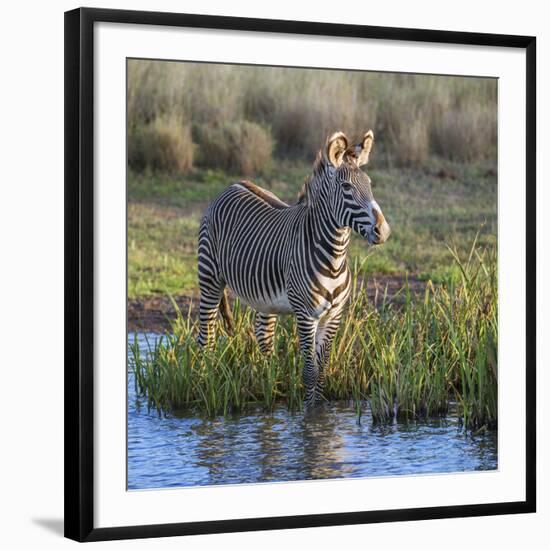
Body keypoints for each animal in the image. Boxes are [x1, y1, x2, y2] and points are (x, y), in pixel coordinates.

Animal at [198, 130, 392, 410]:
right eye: (346, 188)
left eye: (370, 184)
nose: (383, 231)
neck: (334, 258)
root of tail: (233, 184)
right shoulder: (306, 314)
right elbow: (310, 371)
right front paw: (310, 414)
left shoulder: (334, 315)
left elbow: (322, 370)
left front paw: (320, 411)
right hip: (209, 278)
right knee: (207, 336)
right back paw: (205, 382)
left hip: (264, 297)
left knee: (264, 337)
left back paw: (267, 384)